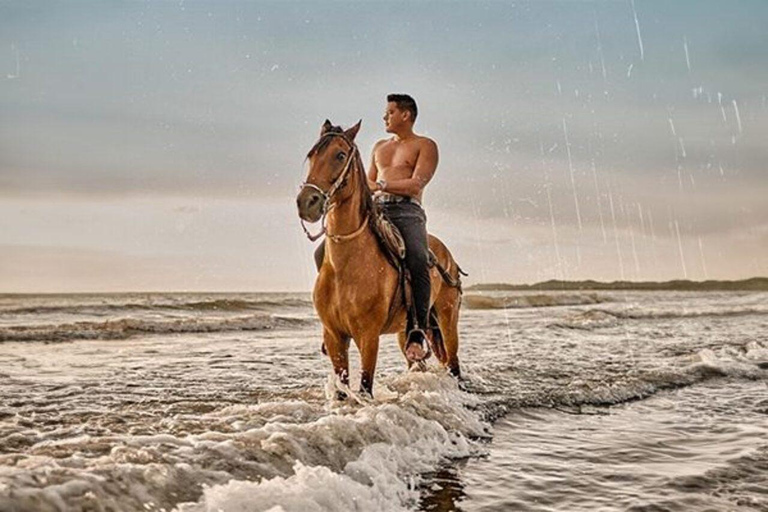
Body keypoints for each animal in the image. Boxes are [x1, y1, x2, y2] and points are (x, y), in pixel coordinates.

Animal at [294, 121, 462, 400]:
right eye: (311, 155)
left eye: (340, 155)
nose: (307, 202)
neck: (346, 266)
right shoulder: (334, 336)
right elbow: (343, 391)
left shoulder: (369, 336)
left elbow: (365, 388)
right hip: (406, 332)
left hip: (448, 321)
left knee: (455, 366)